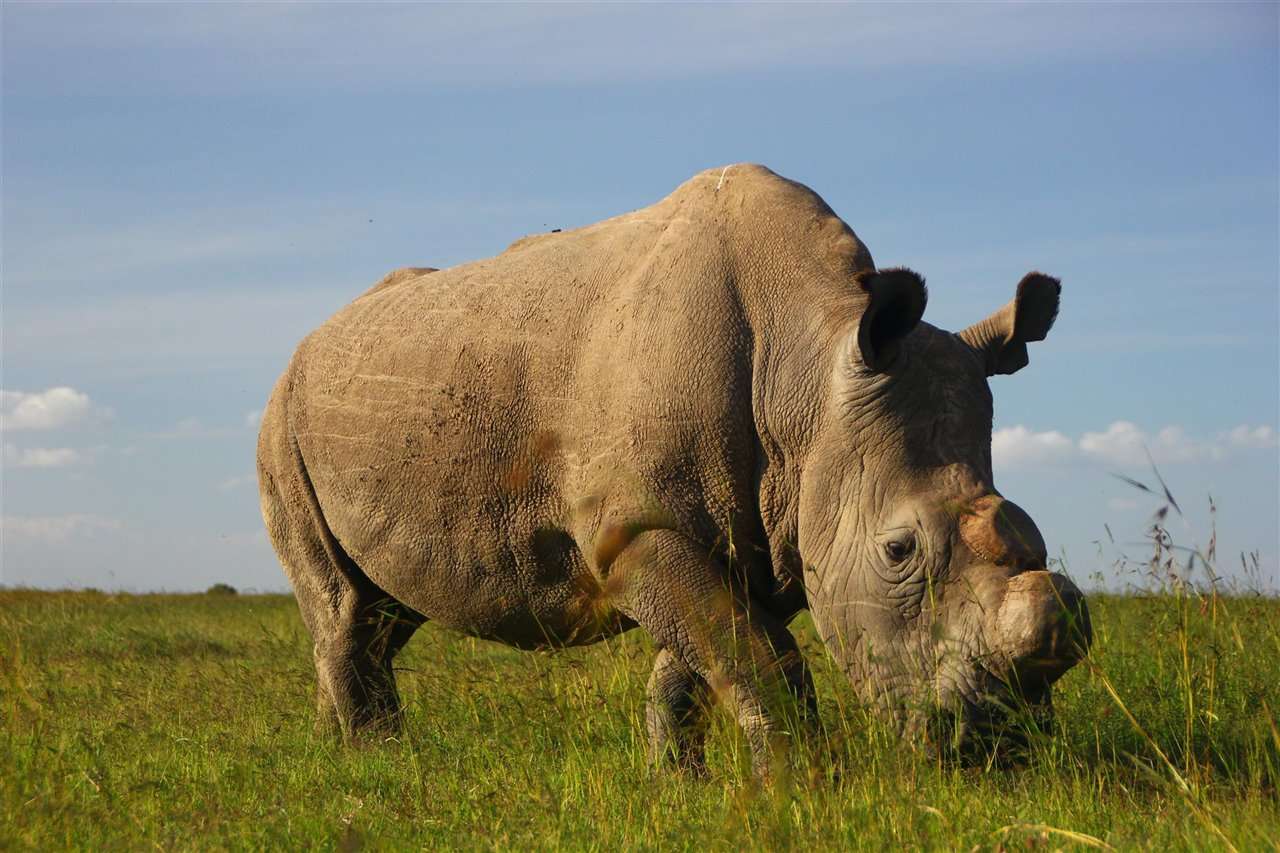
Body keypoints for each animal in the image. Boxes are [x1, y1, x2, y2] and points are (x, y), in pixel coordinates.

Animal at [257, 162, 1090, 773]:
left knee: (382, 609)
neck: (808, 373)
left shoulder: (764, 527)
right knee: (343, 607)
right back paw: (372, 767)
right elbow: (755, 655)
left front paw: (678, 778)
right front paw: (798, 785)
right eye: (898, 550)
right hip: (280, 426)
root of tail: (305, 345)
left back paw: (346, 753)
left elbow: (696, 662)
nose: (999, 751)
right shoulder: (637, 528)